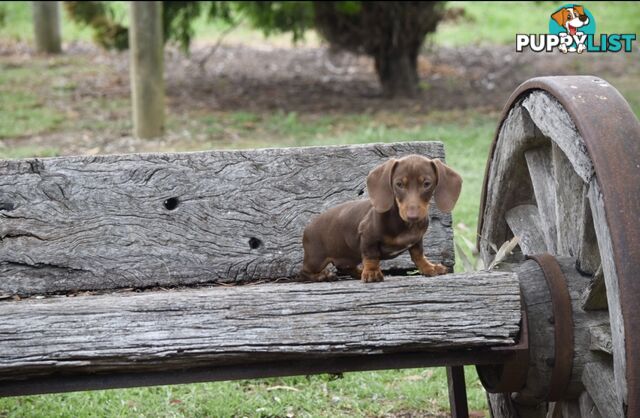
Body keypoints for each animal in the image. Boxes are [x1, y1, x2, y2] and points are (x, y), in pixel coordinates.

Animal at [302, 155, 462, 282]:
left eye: (427, 184)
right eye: (399, 184)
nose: (413, 216)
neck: (404, 224)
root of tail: (307, 227)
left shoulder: (417, 240)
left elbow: (418, 254)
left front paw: (429, 267)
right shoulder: (367, 236)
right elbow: (371, 256)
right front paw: (372, 272)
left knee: (344, 267)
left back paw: (358, 272)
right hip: (316, 259)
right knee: (304, 272)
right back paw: (323, 275)